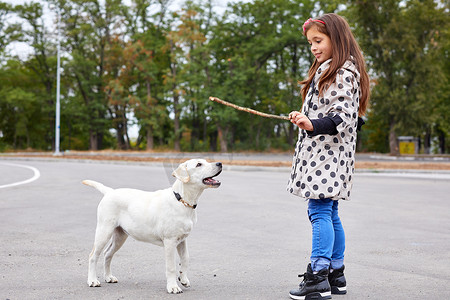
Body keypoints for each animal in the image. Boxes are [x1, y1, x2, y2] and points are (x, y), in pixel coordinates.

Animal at [82, 159, 221, 292]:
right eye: (199, 164)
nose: (220, 163)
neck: (182, 201)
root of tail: (109, 192)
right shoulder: (170, 242)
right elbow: (171, 267)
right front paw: (173, 287)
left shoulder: (182, 240)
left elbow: (185, 259)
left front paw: (184, 279)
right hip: (104, 231)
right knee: (93, 256)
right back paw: (92, 281)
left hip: (120, 236)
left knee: (108, 254)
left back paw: (108, 277)